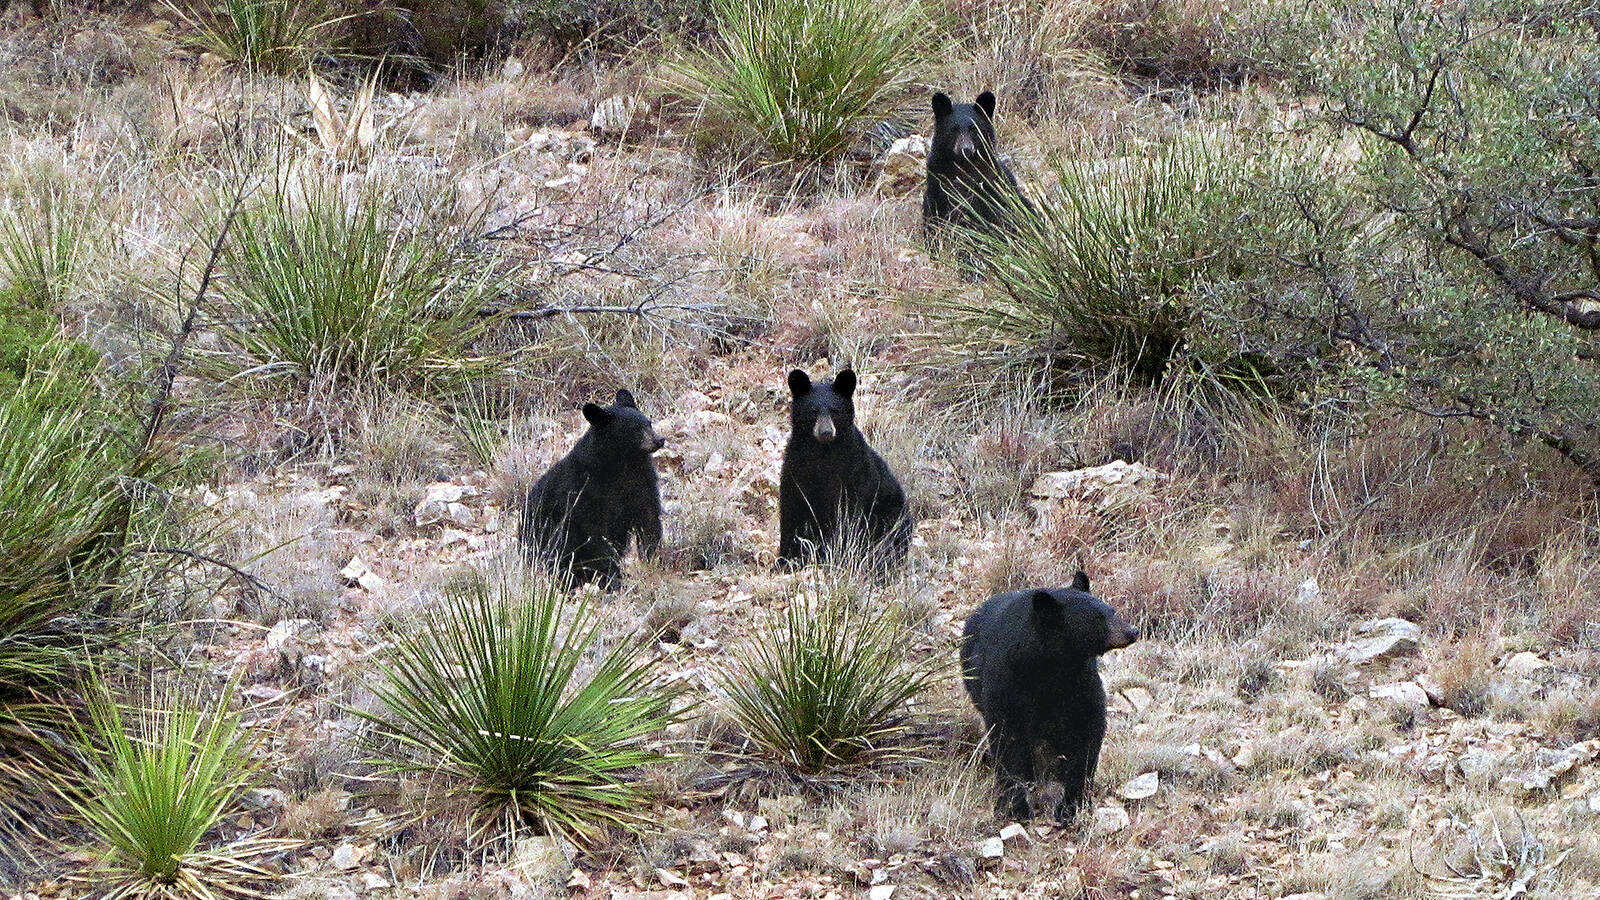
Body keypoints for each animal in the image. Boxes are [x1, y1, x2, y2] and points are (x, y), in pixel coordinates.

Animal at [521, 387, 665, 589]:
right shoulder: (582, 491)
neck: (623, 463)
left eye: (649, 423)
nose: (660, 440)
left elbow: (649, 518)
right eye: (634, 429)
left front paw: (652, 561)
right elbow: (592, 532)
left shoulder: (642, 481)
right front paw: (613, 576)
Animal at [777, 369, 915, 566]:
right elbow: (791, 510)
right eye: (813, 411)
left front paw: (832, 553)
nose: (826, 432)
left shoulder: (852, 470)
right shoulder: (795, 467)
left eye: (835, 410)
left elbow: (845, 515)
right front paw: (785, 559)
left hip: (890, 512)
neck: (822, 451)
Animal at [928, 89, 1024, 249]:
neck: (964, 166)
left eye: (974, 129)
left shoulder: (990, 184)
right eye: (954, 129)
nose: (965, 149)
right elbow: (934, 217)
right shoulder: (938, 181)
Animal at [960, 570, 1139, 826]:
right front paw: (1016, 807)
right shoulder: (1007, 681)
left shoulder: (1081, 680)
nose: (1132, 631)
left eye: (1111, 610)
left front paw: (1071, 806)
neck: (1051, 663)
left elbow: (1087, 731)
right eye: (1098, 618)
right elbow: (1008, 740)